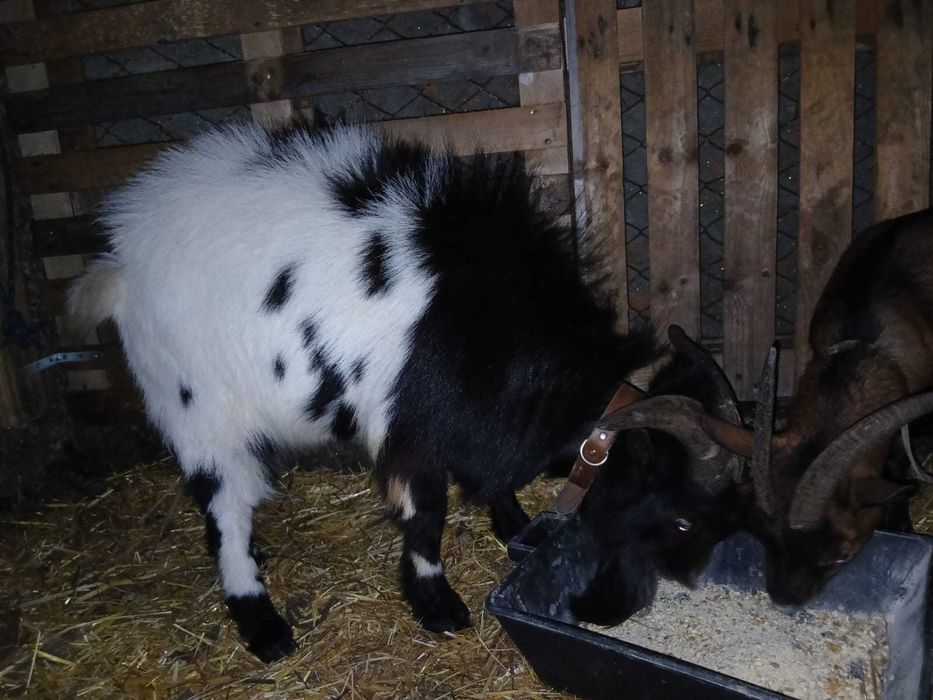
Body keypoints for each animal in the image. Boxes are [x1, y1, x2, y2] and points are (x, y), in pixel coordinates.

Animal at [67, 121, 659, 661]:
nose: (618, 606)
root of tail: (120, 265)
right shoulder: (411, 422)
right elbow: (425, 513)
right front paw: (436, 604)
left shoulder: (459, 411)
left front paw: (511, 522)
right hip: (199, 408)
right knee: (224, 509)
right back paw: (263, 624)